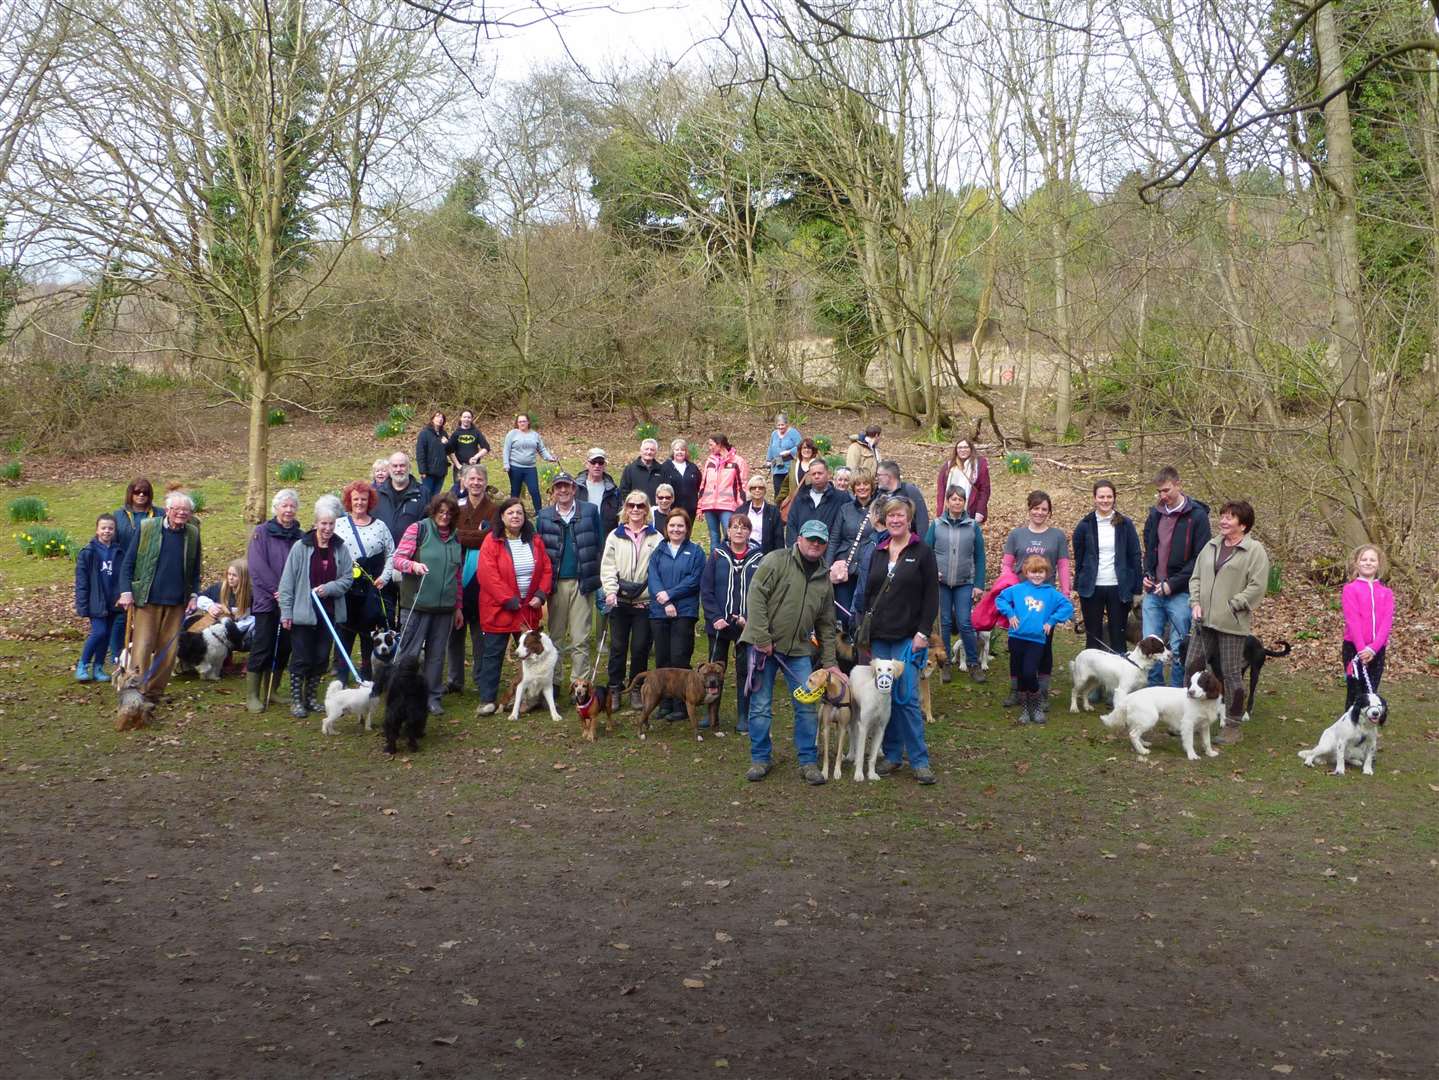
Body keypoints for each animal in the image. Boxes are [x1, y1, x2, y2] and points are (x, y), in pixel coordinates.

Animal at [840, 658, 897, 788]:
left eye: (890, 669)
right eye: (879, 669)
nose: (884, 682)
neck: (879, 697)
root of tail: (859, 666)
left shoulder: (881, 728)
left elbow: (873, 757)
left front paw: (872, 774)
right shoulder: (863, 726)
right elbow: (861, 754)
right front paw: (858, 775)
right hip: (854, 716)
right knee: (853, 734)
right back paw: (852, 755)